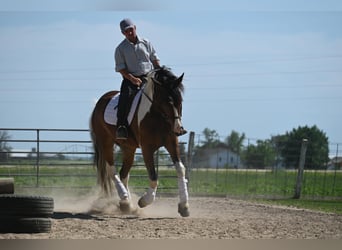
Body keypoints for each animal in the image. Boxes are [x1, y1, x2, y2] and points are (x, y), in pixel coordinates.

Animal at [89, 67, 190, 217]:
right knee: (112, 170)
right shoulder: (147, 148)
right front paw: (144, 200)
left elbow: (180, 169)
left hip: (128, 148)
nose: (179, 129)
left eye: (180, 100)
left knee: (123, 173)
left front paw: (184, 205)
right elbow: (153, 176)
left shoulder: (171, 143)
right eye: (167, 101)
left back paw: (126, 204)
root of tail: (100, 102)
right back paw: (125, 199)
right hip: (106, 143)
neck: (156, 115)